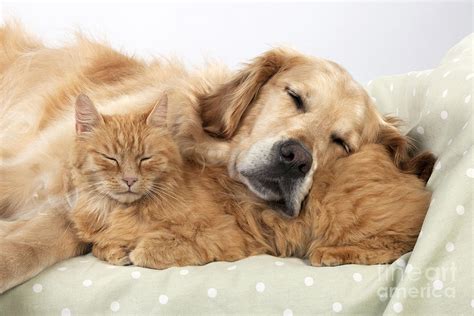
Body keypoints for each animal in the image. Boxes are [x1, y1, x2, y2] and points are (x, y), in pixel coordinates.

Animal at [0, 24, 434, 294]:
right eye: (295, 96)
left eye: (342, 142)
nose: (296, 158)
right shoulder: (27, 174)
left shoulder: (77, 211)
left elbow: (31, 247)